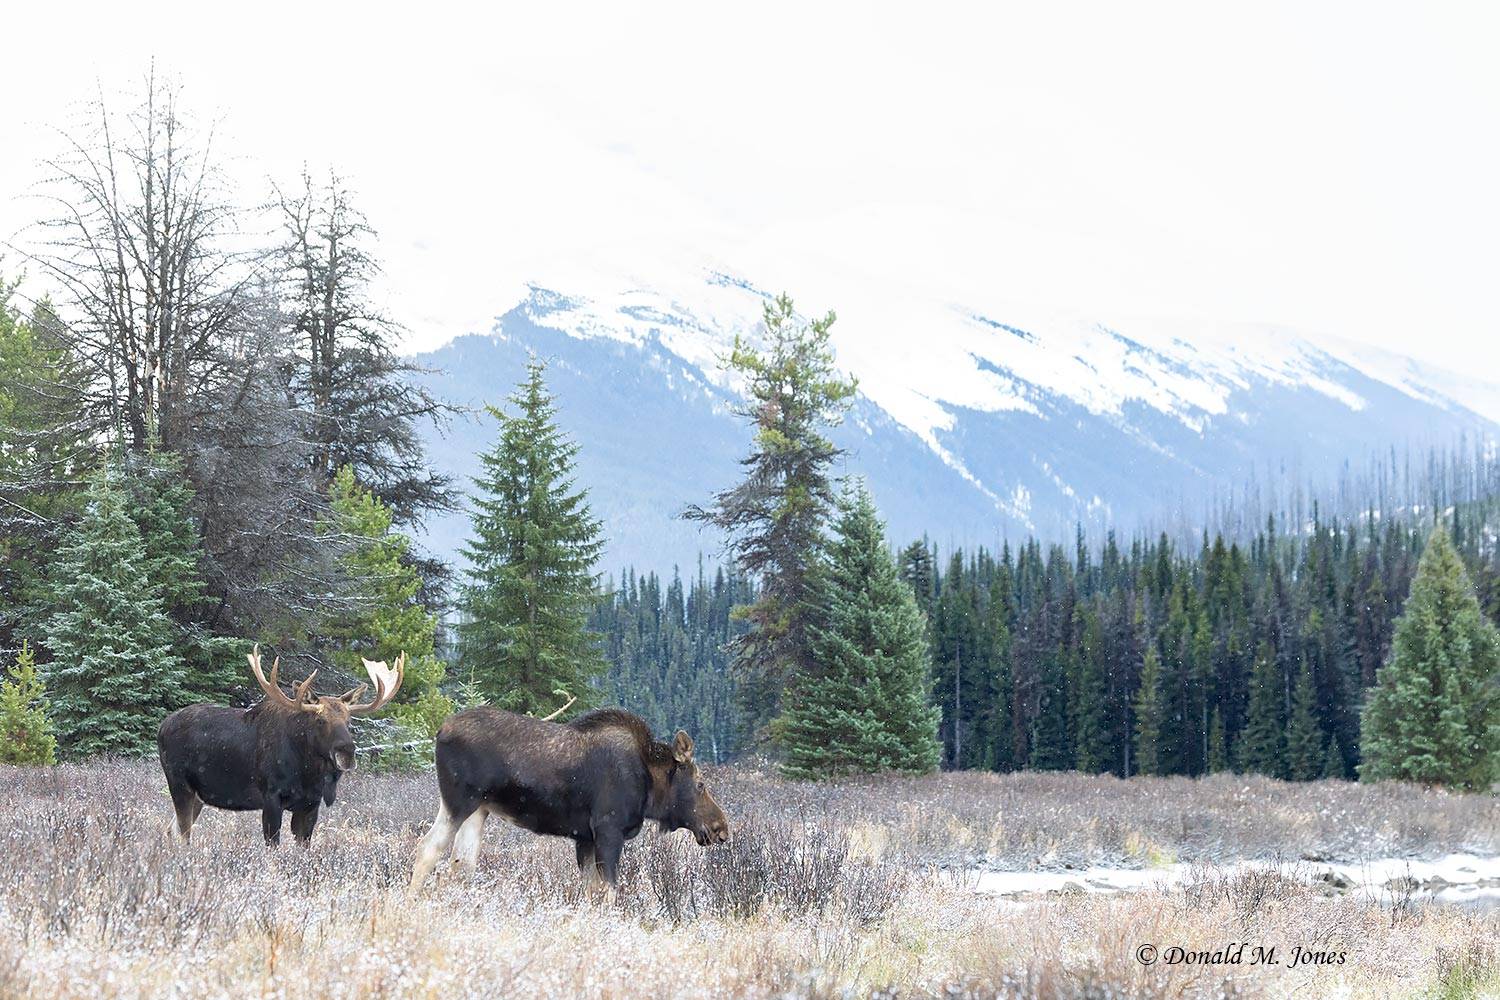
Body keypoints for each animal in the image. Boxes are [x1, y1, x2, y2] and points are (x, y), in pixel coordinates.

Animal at [158, 646, 404, 845]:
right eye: (320, 720)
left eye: (349, 720)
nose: (347, 753)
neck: (308, 774)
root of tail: (162, 727)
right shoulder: (271, 797)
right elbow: (273, 846)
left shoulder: (310, 805)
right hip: (179, 784)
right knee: (183, 833)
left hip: (198, 794)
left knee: (171, 830)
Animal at [408, 705, 730, 891]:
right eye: (700, 784)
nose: (721, 829)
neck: (650, 787)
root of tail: (439, 730)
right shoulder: (608, 830)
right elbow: (609, 891)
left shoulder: (584, 837)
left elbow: (589, 893)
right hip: (459, 801)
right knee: (428, 847)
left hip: (479, 809)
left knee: (461, 863)